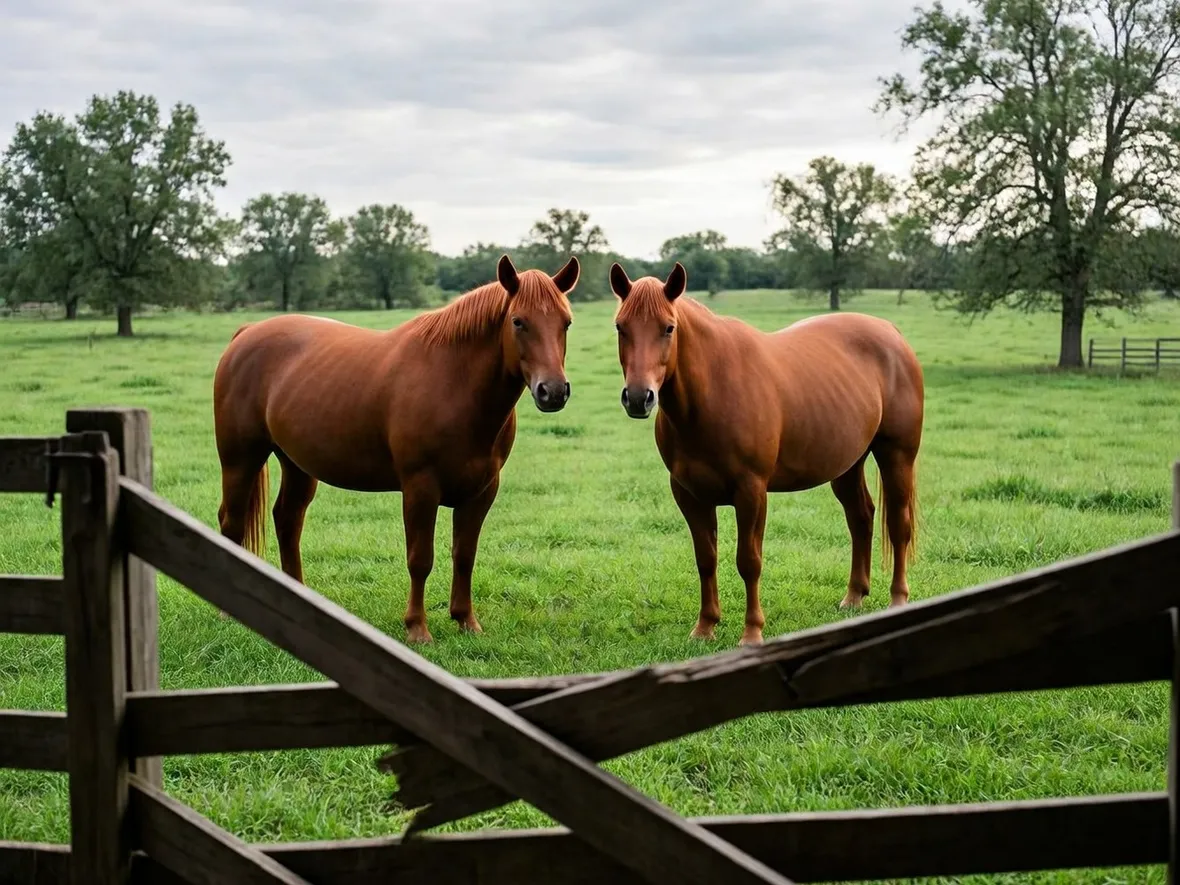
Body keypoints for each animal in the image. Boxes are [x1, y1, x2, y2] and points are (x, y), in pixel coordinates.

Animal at [212, 254, 579, 643]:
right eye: (518, 321)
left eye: (566, 322)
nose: (553, 391)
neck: (453, 381)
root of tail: (246, 333)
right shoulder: (420, 488)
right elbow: (420, 559)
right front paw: (417, 628)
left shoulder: (481, 491)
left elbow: (465, 555)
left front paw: (466, 620)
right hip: (240, 460)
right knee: (232, 522)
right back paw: (225, 610)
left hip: (297, 464)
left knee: (287, 519)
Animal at [609, 261, 924, 646]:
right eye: (621, 326)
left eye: (669, 327)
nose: (639, 398)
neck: (712, 393)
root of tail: (892, 333)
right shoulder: (689, 495)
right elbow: (705, 558)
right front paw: (705, 627)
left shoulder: (751, 492)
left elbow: (749, 561)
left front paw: (752, 632)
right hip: (848, 464)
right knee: (861, 518)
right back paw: (854, 596)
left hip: (897, 456)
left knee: (898, 525)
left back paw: (898, 599)